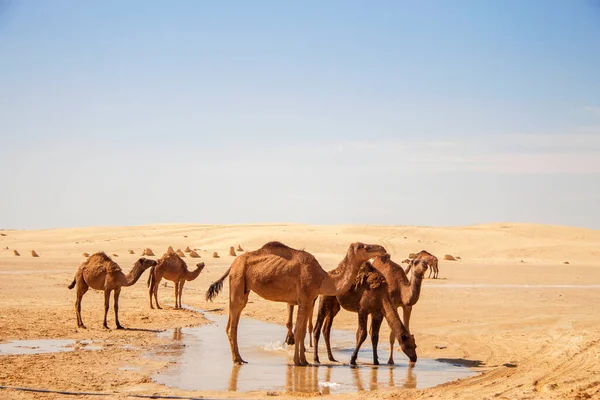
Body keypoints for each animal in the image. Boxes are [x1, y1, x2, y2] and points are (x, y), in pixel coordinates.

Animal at [206, 241, 408, 366]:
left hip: (242, 286)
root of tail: (232, 264)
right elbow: (299, 331)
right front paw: (299, 361)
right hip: (238, 280)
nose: (383, 249)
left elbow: (302, 331)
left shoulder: (309, 300)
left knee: (233, 320)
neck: (323, 278)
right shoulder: (304, 298)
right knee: (233, 322)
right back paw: (237, 360)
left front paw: (304, 360)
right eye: (365, 247)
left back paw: (240, 358)